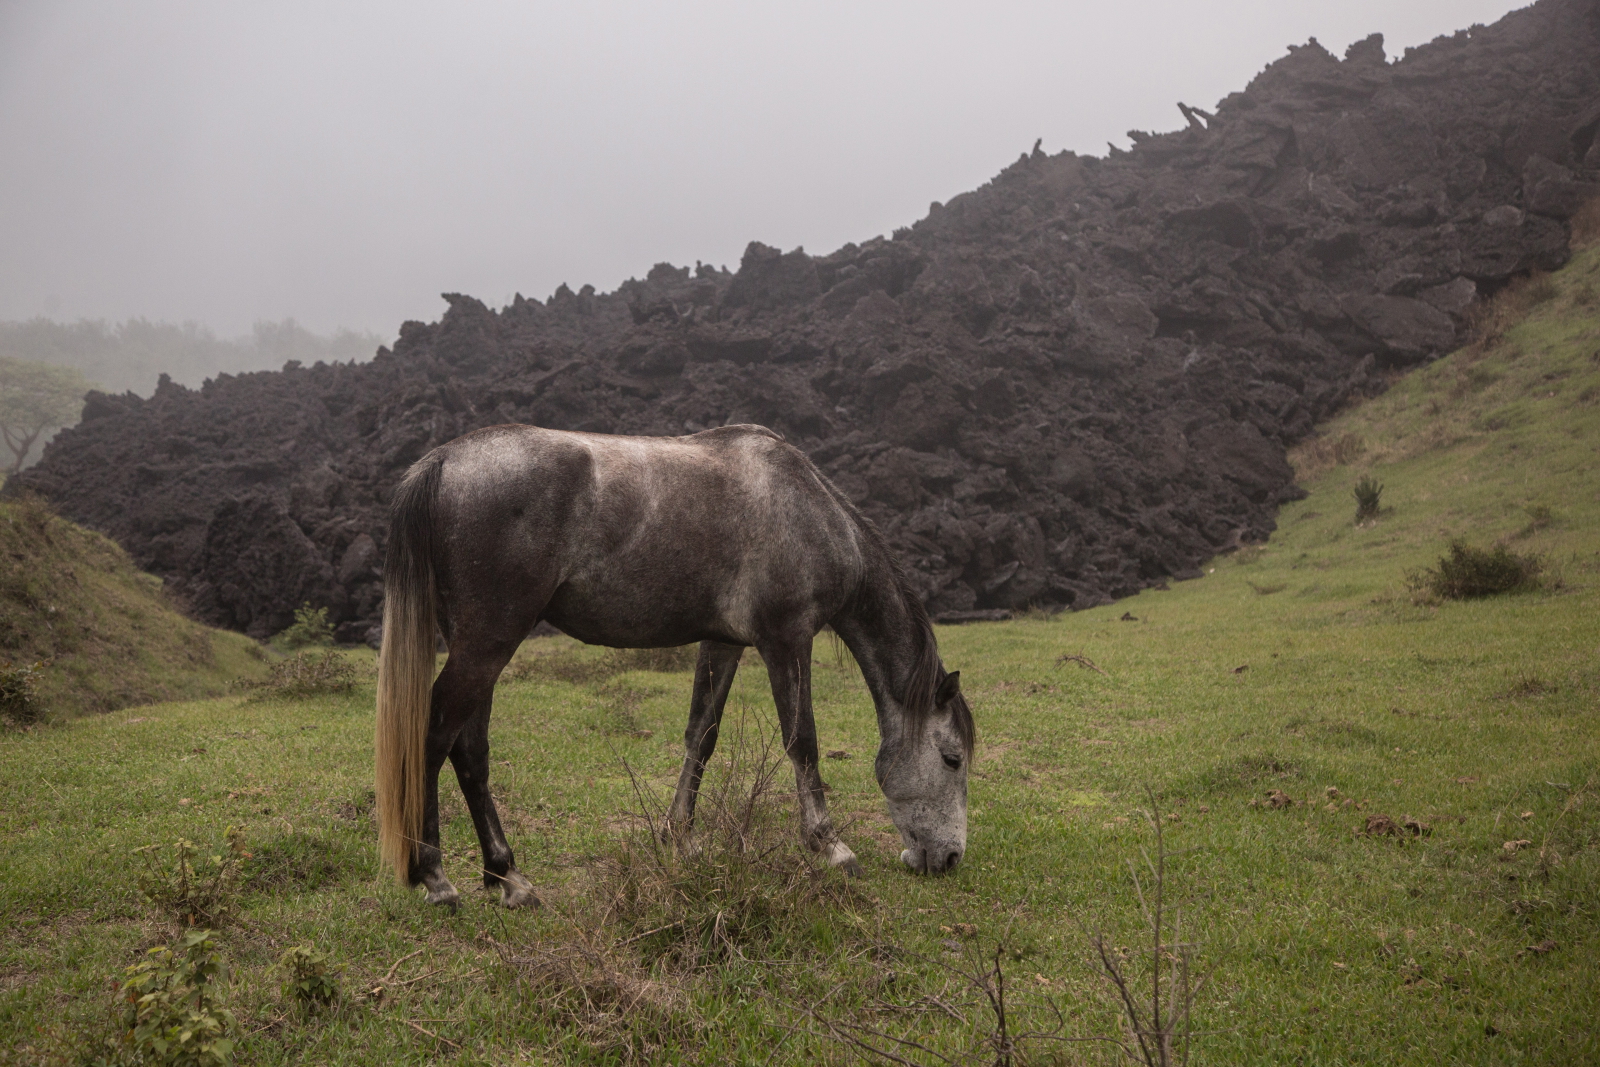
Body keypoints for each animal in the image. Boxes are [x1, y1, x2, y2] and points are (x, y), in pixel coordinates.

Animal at [376, 422, 972, 908]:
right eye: (952, 759)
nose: (948, 859)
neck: (809, 508)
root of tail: (445, 460)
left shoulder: (723, 643)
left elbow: (701, 735)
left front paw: (680, 837)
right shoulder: (787, 640)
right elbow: (802, 740)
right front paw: (830, 847)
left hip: (482, 646)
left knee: (470, 752)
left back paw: (508, 878)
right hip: (488, 642)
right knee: (433, 736)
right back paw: (436, 876)